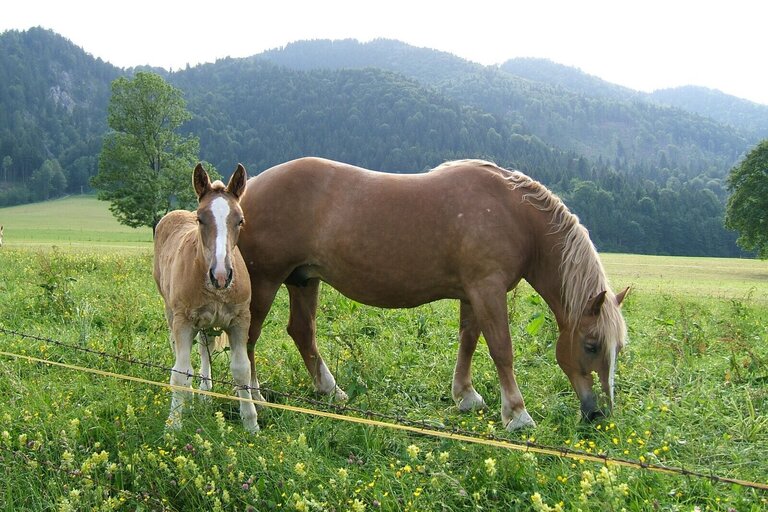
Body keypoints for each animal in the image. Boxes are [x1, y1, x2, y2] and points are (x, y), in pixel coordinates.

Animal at [154, 164, 262, 432]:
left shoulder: (240, 320)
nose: (221, 275)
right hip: (171, 312)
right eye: (200, 218)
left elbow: (242, 370)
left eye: (240, 220)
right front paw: (173, 425)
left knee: (205, 348)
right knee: (178, 351)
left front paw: (251, 423)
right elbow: (179, 373)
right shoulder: (183, 320)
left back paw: (205, 391)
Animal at [237, 158, 628, 430]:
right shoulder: (487, 288)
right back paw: (256, 399)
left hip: (303, 280)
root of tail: (247, 188)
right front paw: (517, 415)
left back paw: (330, 391)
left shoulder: (472, 293)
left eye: (618, 348)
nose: (598, 414)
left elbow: (468, 341)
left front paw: (466, 396)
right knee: (250, 339)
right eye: (591, 345)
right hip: (266, 281)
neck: (513, 213)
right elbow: (501, 349)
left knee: (302, 332)